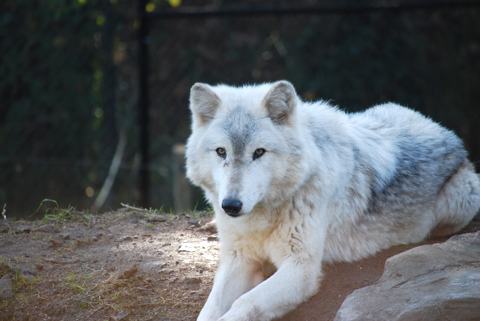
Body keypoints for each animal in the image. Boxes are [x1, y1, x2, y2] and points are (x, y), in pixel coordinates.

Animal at [185, 80, 480, 320]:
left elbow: (245, 303)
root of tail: (445, 131)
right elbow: (210, 309)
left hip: (461, 199)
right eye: (221, 152)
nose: (231, 205)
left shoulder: (301, 268)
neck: (262, 219)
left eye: (259, 152)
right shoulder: (239, 258)